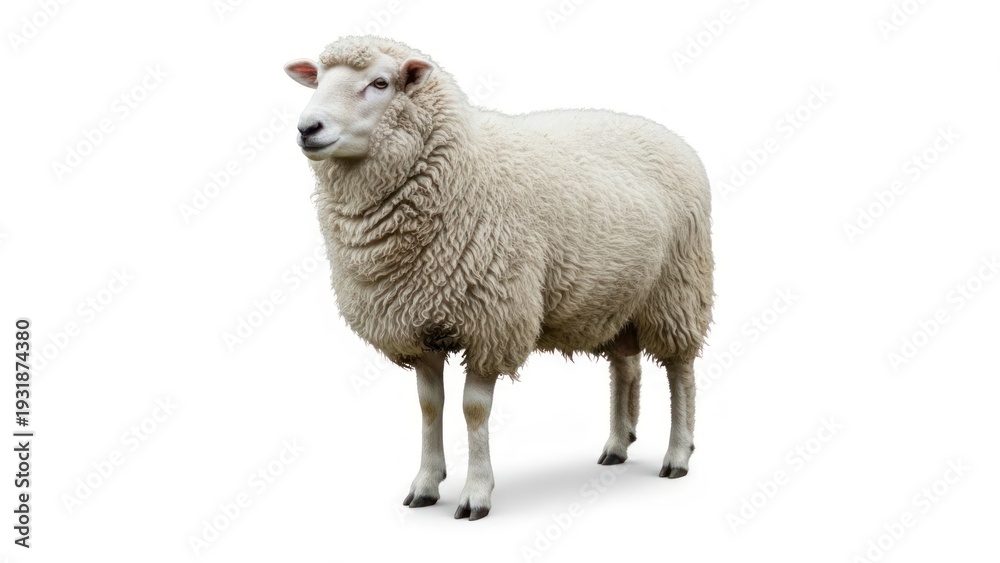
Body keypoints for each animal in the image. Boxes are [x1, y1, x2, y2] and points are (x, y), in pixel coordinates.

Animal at [284, 36, 714, 521]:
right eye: (318, 79)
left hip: (678, 288)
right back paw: (618, 446)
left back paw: (677, 455)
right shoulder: (419, 323)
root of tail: (666, 133)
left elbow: (473, 410)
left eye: (380, 83)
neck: (459, 169)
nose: (308, 128)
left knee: (681, 371)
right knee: (625, 366)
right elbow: (429, 406)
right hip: (617, 297)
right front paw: (426, 484)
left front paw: (476, 493)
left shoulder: (492, 320)